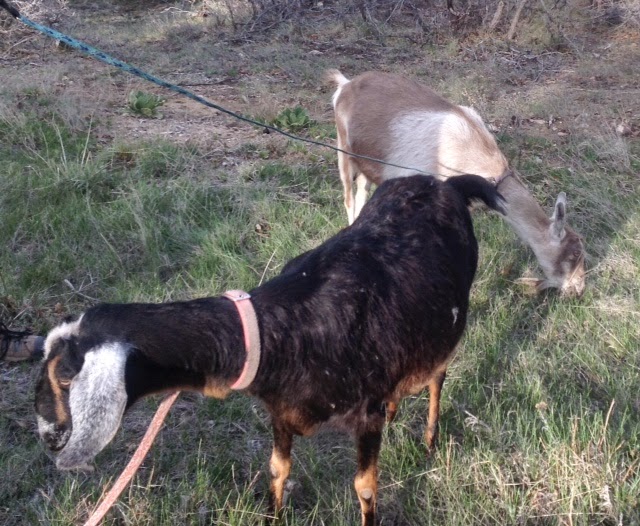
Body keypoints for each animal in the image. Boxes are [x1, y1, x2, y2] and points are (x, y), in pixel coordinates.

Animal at [35, 174, 505, 526]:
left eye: (65, 378)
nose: (49, 438)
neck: (282, 329)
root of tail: (445, 183)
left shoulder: (365, 414)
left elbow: (366, 487)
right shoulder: (281, 411)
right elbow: (278, 469)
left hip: (447, 322)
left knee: (437, 376)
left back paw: (429, 439)